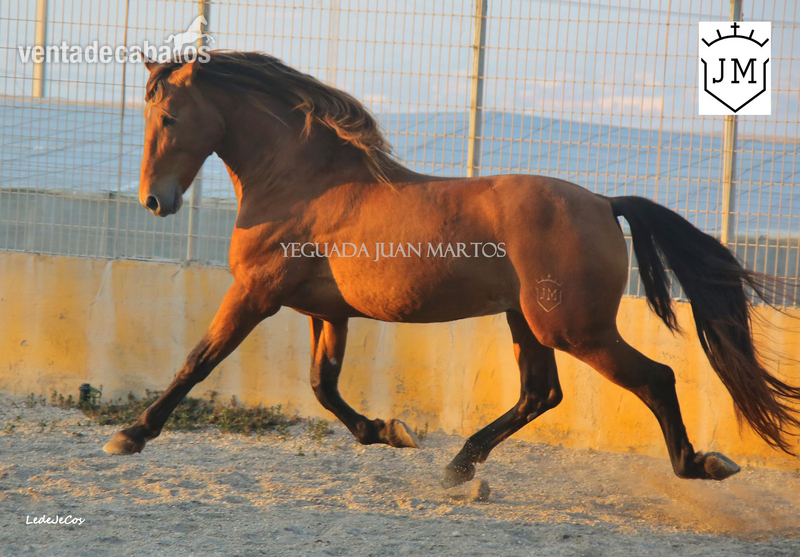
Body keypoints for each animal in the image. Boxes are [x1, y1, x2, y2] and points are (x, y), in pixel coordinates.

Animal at [103, 51, 800, 487]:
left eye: (167, 117)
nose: (154, 201)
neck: (303, 183)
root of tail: (604, 202)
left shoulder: (254, 294)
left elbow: (197, 362)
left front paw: (131, 435)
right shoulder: (327, 312)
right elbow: (323, 386)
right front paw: (389, 431)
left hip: (572, 328)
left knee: (654, 378)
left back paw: (700, 465)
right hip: (527, 322)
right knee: (540, 393)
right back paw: (458, 466)